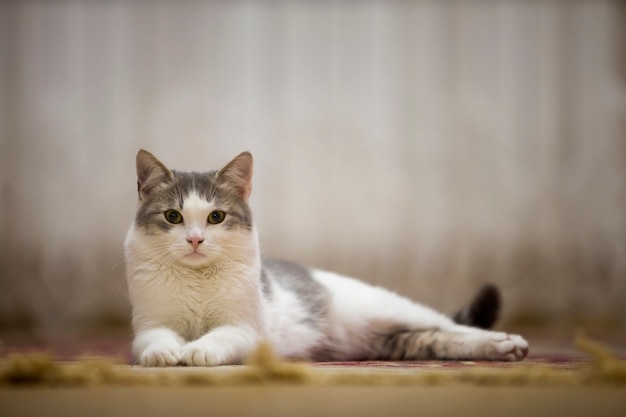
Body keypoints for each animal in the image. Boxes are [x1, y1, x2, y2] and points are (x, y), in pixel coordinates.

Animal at [125, 149, 528, 364]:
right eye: (173, 217)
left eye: (215, 217)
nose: (195, 240)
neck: (196, 280)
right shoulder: (149, 325)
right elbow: (155, 341)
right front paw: (164, 354)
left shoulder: (244, 329)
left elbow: (218, 337)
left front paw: (198, 351)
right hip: (393, 342)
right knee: (435, 338)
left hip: (390, 309)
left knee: (452, 325)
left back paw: (506, 342)